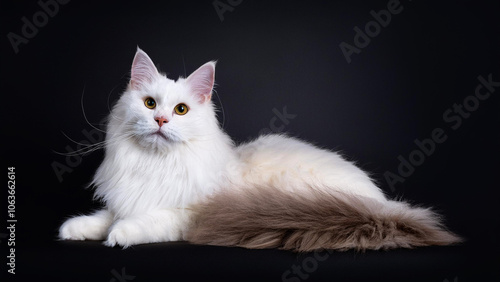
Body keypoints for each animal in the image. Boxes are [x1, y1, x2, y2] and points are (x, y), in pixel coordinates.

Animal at [58, 48, 460, 251]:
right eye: (149, 103)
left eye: (181, 110)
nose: (160, 121)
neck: (155, 165)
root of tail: (382, 208)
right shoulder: (128, 197)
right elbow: (106, 216)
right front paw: (77, 228)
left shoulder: (188, 215)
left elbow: (143, 221)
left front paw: (118, 236)